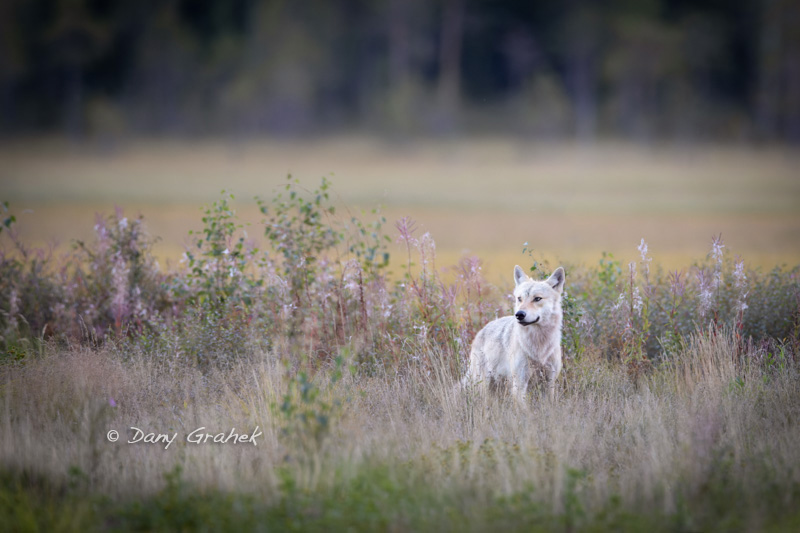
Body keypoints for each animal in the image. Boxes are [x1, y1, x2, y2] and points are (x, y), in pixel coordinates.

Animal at [460, 264, 564, 402]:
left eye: (537, 298)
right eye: (519, 299)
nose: (519, 314)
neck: (538, 345)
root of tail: (481, 331)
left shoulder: (549, 384)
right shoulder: (519, 384)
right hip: (484, 385)